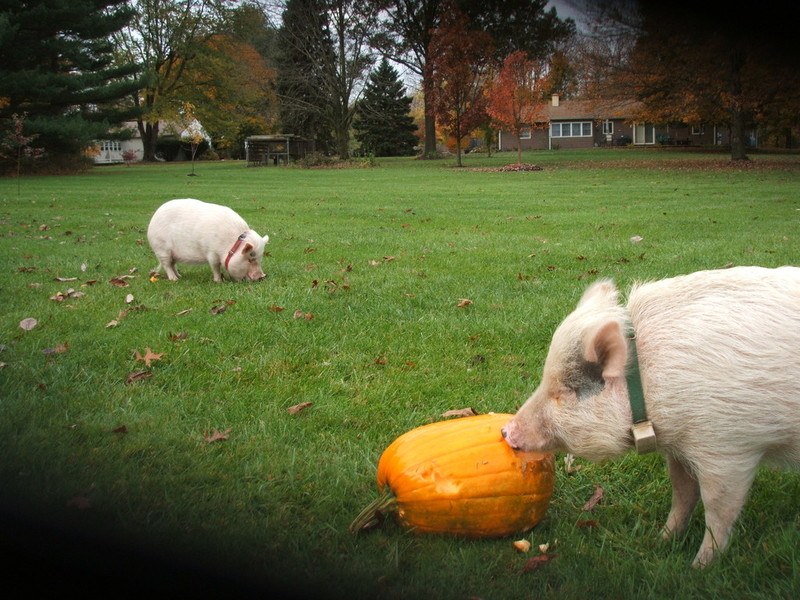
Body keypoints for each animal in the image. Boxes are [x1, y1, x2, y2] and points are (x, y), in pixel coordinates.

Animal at [504, 268, 800, 568]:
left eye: (565, 390)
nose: (506, 431)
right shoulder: (680, 447)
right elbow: (682, 491)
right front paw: (661, 541)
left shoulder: (727, 448)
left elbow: (717, 509)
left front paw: (698, 567)